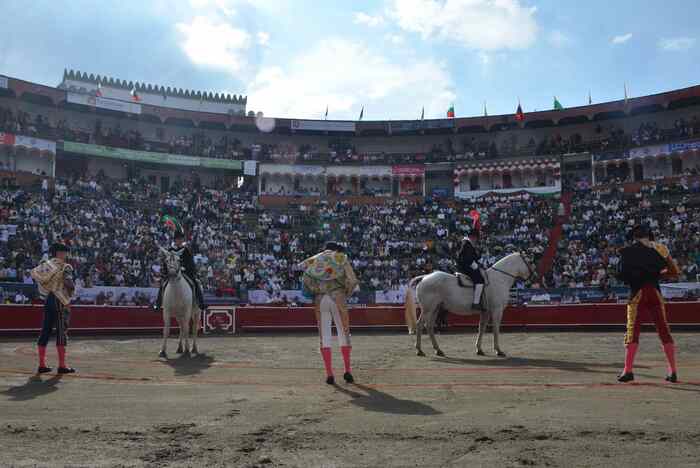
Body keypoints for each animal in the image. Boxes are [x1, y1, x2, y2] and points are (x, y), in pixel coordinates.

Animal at [405, 252, 536, 358]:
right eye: (529, 261)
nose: (534, 277)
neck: (499, 279)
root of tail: (424, 277)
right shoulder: (497, 310)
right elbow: (496, 329)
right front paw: (498, 350)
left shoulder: (486, 312)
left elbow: (481, 328)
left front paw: (479, 349)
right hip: (428, 309)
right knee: (420, 325)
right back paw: (419, 350)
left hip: (435, 309)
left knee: (429, 326)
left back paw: (438, 350)